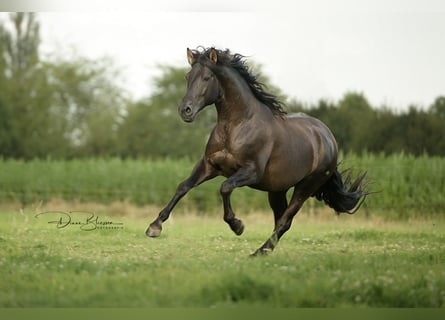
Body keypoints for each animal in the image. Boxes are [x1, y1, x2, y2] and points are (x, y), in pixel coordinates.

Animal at [147, 47, 366, 255]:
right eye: (187, 77)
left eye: (207, 77)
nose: (185, 110)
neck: (236, 126)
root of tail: (328, 138)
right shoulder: (209, 165)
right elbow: (183, 187)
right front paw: (154, 227)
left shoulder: (251, 172)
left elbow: (225, 187)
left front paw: (237, 225)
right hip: (277, 189)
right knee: (280, 219)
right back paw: (265, 250)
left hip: (306, 187)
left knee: (285, 220)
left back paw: (259, 252)